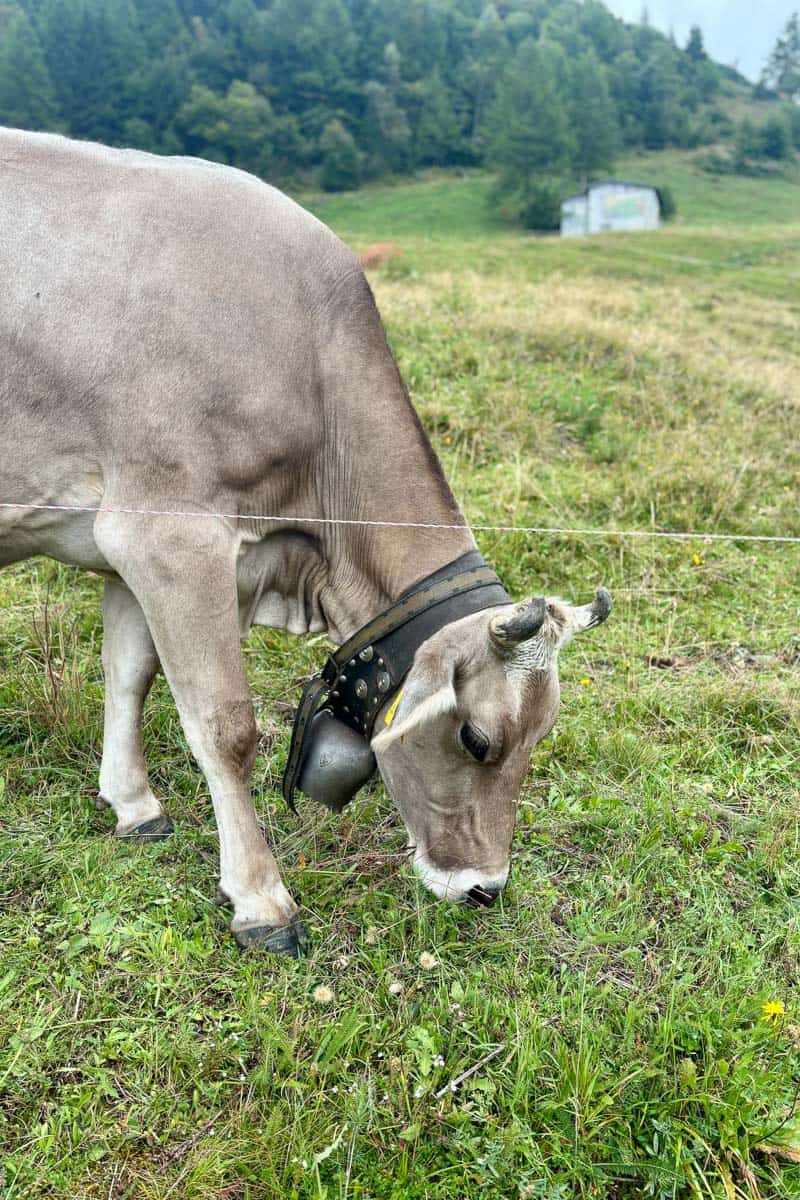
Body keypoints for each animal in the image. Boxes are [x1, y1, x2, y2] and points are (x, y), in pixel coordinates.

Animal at [0, 128, 611, 956]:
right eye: (477, 738)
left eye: (543, 733)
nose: (485, 888)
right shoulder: (168, 535)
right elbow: (224, 725)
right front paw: (262, 899)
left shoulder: (129, 551)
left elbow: (129, 674)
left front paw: (133, 804)